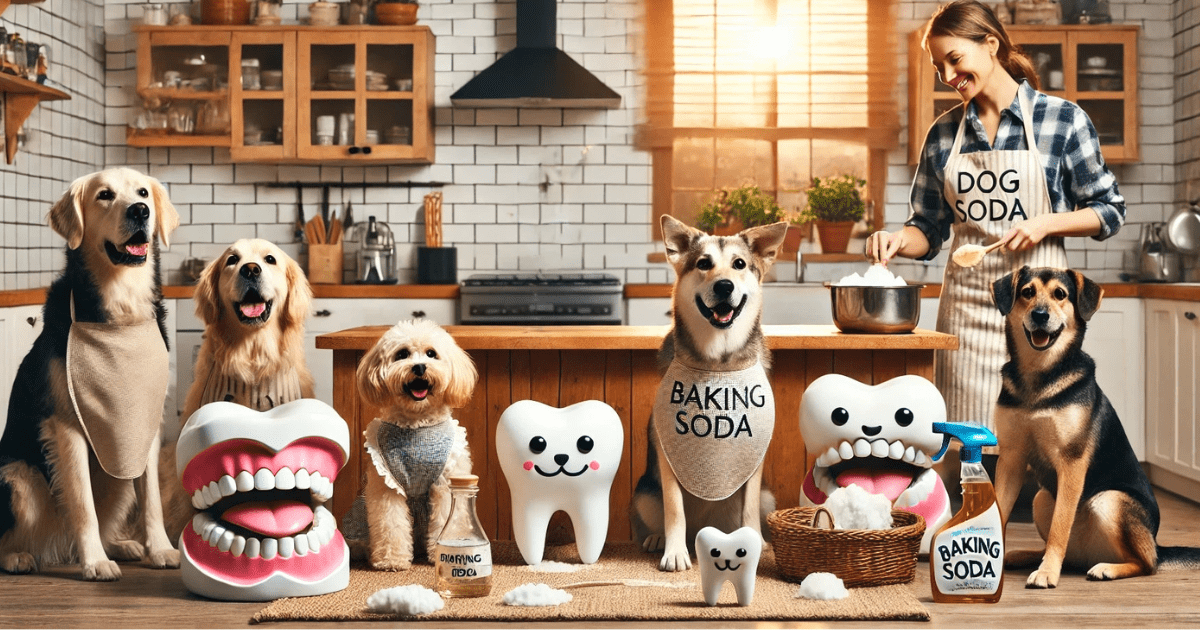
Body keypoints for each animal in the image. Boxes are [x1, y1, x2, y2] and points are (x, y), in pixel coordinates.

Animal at [0, 168, 182, 580]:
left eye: (143, 193)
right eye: (104, 195)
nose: (140, 211)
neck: (120, 313)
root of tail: (54, 546)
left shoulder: (144, 429)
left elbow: (152, 499)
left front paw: (160, 548)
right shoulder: (66, 426)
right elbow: (82, 503)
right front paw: (96, 561)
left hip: (118, 481)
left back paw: (120, 544)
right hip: (18, 478)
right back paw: (19, 556)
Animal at [340, 319, 475, 568]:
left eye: (431, 354)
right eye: (402, 354)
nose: (419, 367)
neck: (417, 425)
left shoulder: (444, 483)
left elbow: (444, 517)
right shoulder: (386, 485)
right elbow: (390, 523)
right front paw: (391, 559)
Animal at [988, 264, 1195, 585]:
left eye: (1060, 294)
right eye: (1027, 292)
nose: (1040, 315)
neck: (1040, 376)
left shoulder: (1071, 463)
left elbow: (1061, 525)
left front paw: (1047, 573)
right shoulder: (1011, 460)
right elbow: (1000, 512)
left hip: (1109, 501)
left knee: (1147, 564)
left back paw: (1106, 568)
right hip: (1041, 498)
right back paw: (1025, 556)